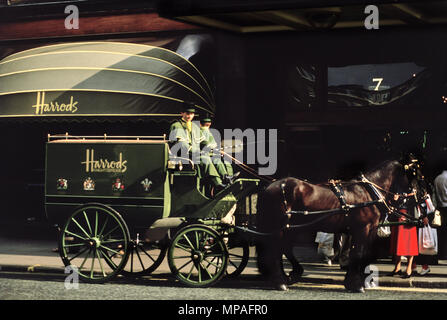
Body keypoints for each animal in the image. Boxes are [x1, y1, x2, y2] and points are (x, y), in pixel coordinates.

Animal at [258, 158, 426, 292]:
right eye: (416, 175)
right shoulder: (362, 229)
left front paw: (353, 282)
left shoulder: (367, 230)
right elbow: (358, 253)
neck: (369, 192)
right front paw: (357, 285)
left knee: (283, 248)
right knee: (276, 250)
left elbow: (359, 254)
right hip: (280, 227)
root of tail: (269, 186)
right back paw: (281, 282)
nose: (424, 197)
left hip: (288, 228)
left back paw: (290, 275)